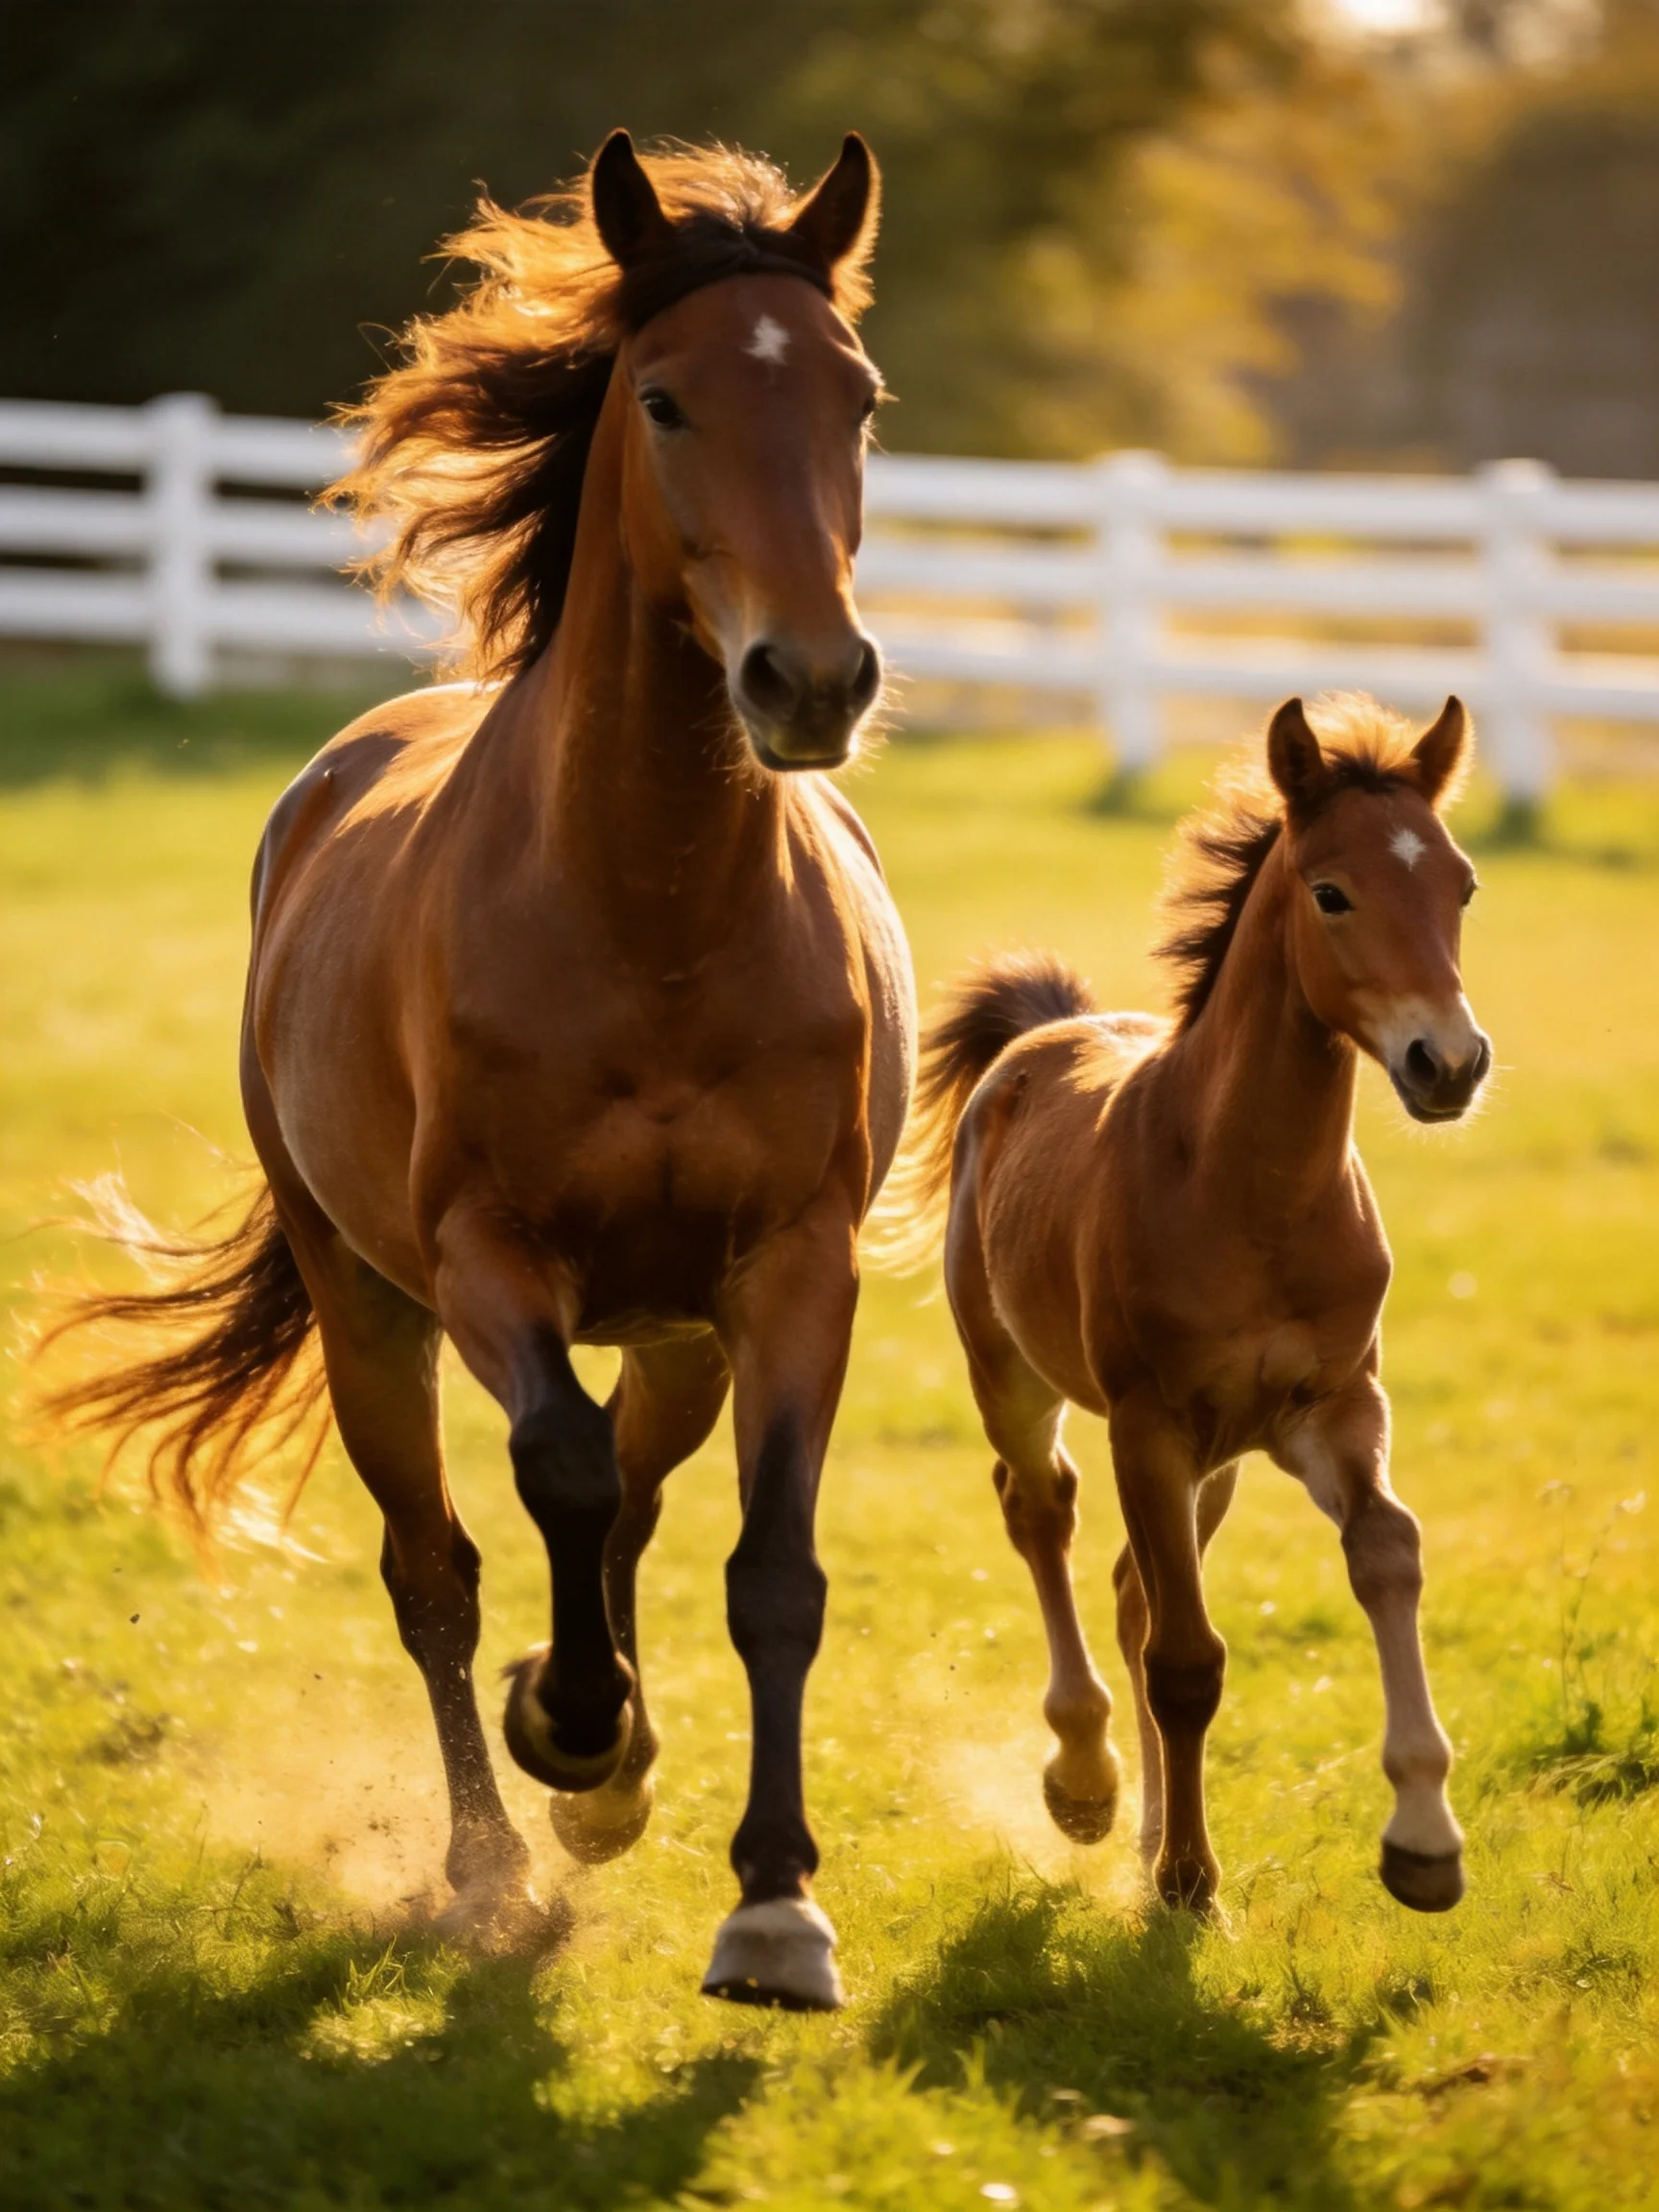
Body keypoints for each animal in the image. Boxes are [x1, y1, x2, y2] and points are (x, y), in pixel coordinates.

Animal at [38, 131, 915, 2011]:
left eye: (859, 397)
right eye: (661, 397)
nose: (810, 679)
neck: (651, 915)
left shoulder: (788, 1270)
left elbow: (770, 1568)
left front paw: (772, 1904)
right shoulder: (482, 1263)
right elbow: (553, 1481)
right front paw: (568, 1727)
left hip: (676, 1332)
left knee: (637, 1513)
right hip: (363, 1299)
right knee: (438, 1563)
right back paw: (500, 1850)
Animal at [893, 693, 1489, 1915]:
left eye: (1461, 886)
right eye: (1331, 892)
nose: (1449, 1063)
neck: (1248, 1192)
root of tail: (1045, 1027)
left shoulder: (1334, 1407)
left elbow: (1387, 1551)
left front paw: (1423, 1840)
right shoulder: (1151, 1424)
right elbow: (1186, 1660)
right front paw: (1186, 1880)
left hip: (1216, 1459)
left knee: (1130, 1586)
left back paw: (1144, 1823)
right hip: (1018, 1381)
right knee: (1044, 1514)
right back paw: (1087, 1784)